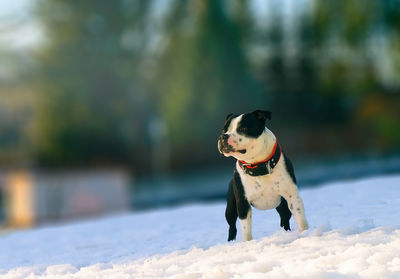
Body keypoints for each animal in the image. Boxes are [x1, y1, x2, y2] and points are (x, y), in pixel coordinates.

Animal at [217, 110, 308, 242]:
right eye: (224, 130)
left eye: (243, 128)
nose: (223, 136)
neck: (258, 166)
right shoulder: (242, 203)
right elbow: (246, 229)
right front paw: (247, 242)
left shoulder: (292, 196)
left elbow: (300, 217)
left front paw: (305, 232)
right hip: (231, 208)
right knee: (232, 227)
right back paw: (231, 242)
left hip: (283, 204)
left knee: (285, 218)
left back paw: (286, 231)